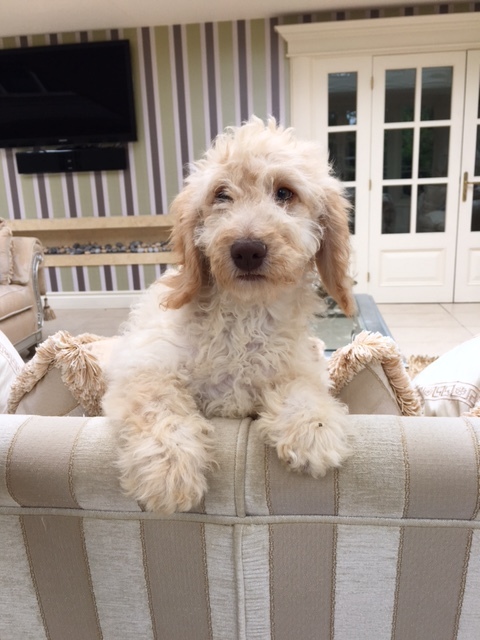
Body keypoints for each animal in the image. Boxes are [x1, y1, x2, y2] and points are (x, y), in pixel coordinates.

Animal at [102, 117, 356, 512]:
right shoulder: (143, 365)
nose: (247, 249)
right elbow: (159, 403)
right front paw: (169, 469)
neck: (245, 313)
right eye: (221, 194)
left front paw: (314, 429)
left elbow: (303, 388)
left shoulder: (298, 367)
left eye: (285, 193)